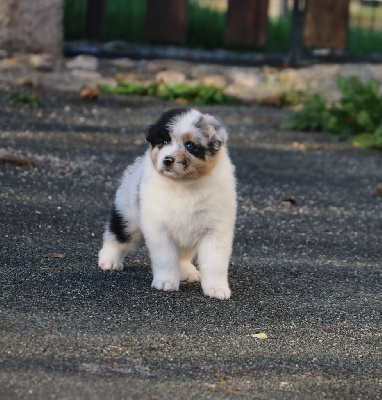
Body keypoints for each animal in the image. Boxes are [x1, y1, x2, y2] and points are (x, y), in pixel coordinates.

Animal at [98, 108, 236, 298]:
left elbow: (215, 263)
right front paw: (166, 282)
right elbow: (166, 259)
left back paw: (186, 271)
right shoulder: (159, 228)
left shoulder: (215, 229)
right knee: (116, 236)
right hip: (129, 218)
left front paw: (217, 288)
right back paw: (108, 260)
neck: (184, 185)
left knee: (183, 256)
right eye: (163, 142)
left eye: (190, 146)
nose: (167, 160)